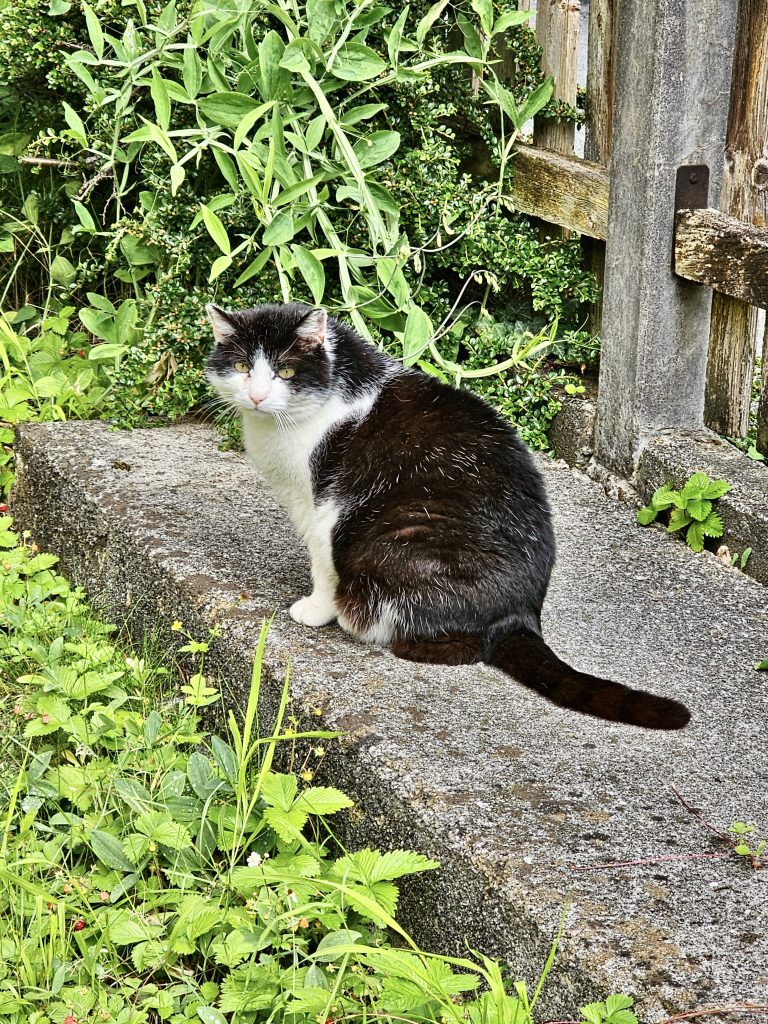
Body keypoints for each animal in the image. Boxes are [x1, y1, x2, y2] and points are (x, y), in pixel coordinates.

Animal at [207, 299, 696, 733]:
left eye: (286, 372)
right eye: (243, 367)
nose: (256, 395)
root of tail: (521, 613)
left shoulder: (326, 504)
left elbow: (324, 562)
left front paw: (315, 607)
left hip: (397, 539)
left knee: (462, 643)